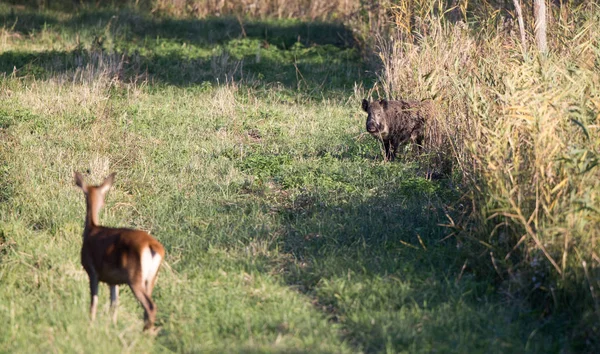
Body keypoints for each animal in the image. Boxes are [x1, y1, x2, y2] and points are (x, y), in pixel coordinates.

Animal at [74, 172, 165, 332]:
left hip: (135, 279)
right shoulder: (113, 281)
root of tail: (152, 246)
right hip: (150, 279)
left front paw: (91, 324)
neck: (91, 230)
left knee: (150, 306)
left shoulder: (92, 272)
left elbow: (94, 300)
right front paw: (113, 325)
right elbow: (114, 303)